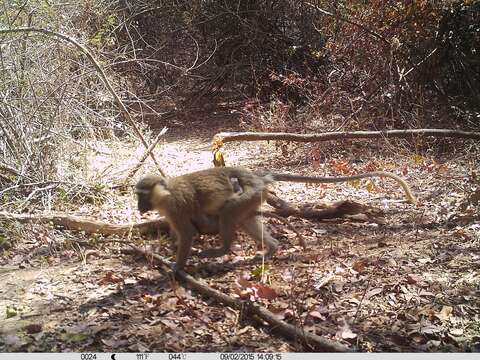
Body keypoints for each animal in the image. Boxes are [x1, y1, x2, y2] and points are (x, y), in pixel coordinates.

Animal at [135, 167, 416, 272]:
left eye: (141, 195)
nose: (139, 208)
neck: (165, 194)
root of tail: (258, 178)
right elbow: (185, 231)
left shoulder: (176, 208)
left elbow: (189, 233)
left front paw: (177, 267)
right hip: (254, 198)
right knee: (243, 218)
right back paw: (272, 248)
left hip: (250, 195)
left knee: (229, 215)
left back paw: (223, 249)